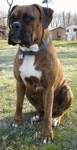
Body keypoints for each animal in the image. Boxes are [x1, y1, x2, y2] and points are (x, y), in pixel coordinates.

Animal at [7, 4, 73, 144]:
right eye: (11, 19)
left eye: (28, 18)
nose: (15, 25)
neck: (30, 51)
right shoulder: (20, 84)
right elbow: (18, 104)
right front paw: (17, 121)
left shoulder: (48, 88)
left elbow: (47, 115)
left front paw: (47, 135)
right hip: (28, 91)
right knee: (41, 110)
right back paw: (36, 115)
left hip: (67, 91)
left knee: (58, 112)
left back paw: (56, 119)